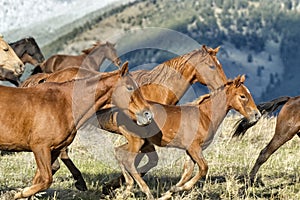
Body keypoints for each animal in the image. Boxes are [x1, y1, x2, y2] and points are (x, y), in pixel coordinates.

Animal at [0, 62, 152, 198]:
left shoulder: (53, 149)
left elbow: (40, 179)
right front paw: (15, 194)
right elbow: (46, 179)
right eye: (129, 87)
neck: (64, 102)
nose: (148, 114)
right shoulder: (40, 147)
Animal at [111, 74, 262, 198]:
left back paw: (127, 189)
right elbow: (203, 168)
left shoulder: (191, 151)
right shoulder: (194, 147)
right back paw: (145, 191)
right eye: (242, 96)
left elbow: (187, 172)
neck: (205, 115)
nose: (257, 115)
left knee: (118, 151)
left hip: (138, 141)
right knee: (127, 159)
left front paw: (170, 192)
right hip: (137, 141)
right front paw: (178, 189)